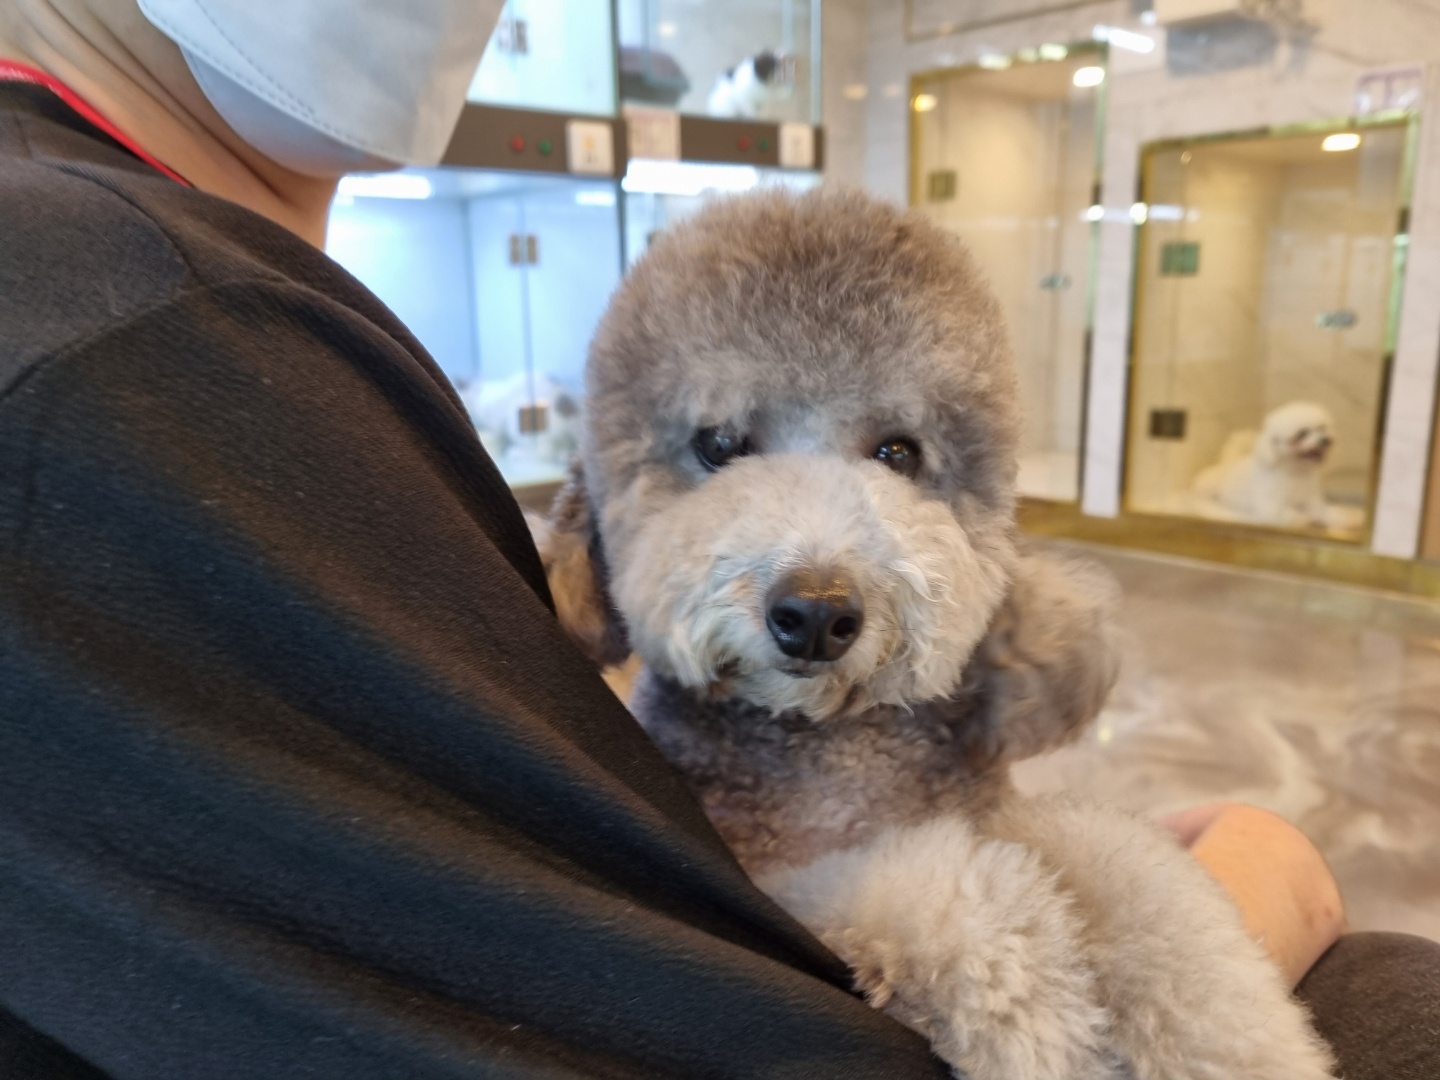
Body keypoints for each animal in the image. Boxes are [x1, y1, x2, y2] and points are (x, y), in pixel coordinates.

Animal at [1191, 401, 1335, 529]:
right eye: (1302, 433)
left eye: (1321, 428)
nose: (1326, 440)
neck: (1295, 473)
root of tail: (1228, 462)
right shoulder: (1271, 508)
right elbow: (1292, 515)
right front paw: (1307, 519)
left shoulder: (1311, 498)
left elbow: (1320, 510)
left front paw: (1327, 517)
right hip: (1207, 488)